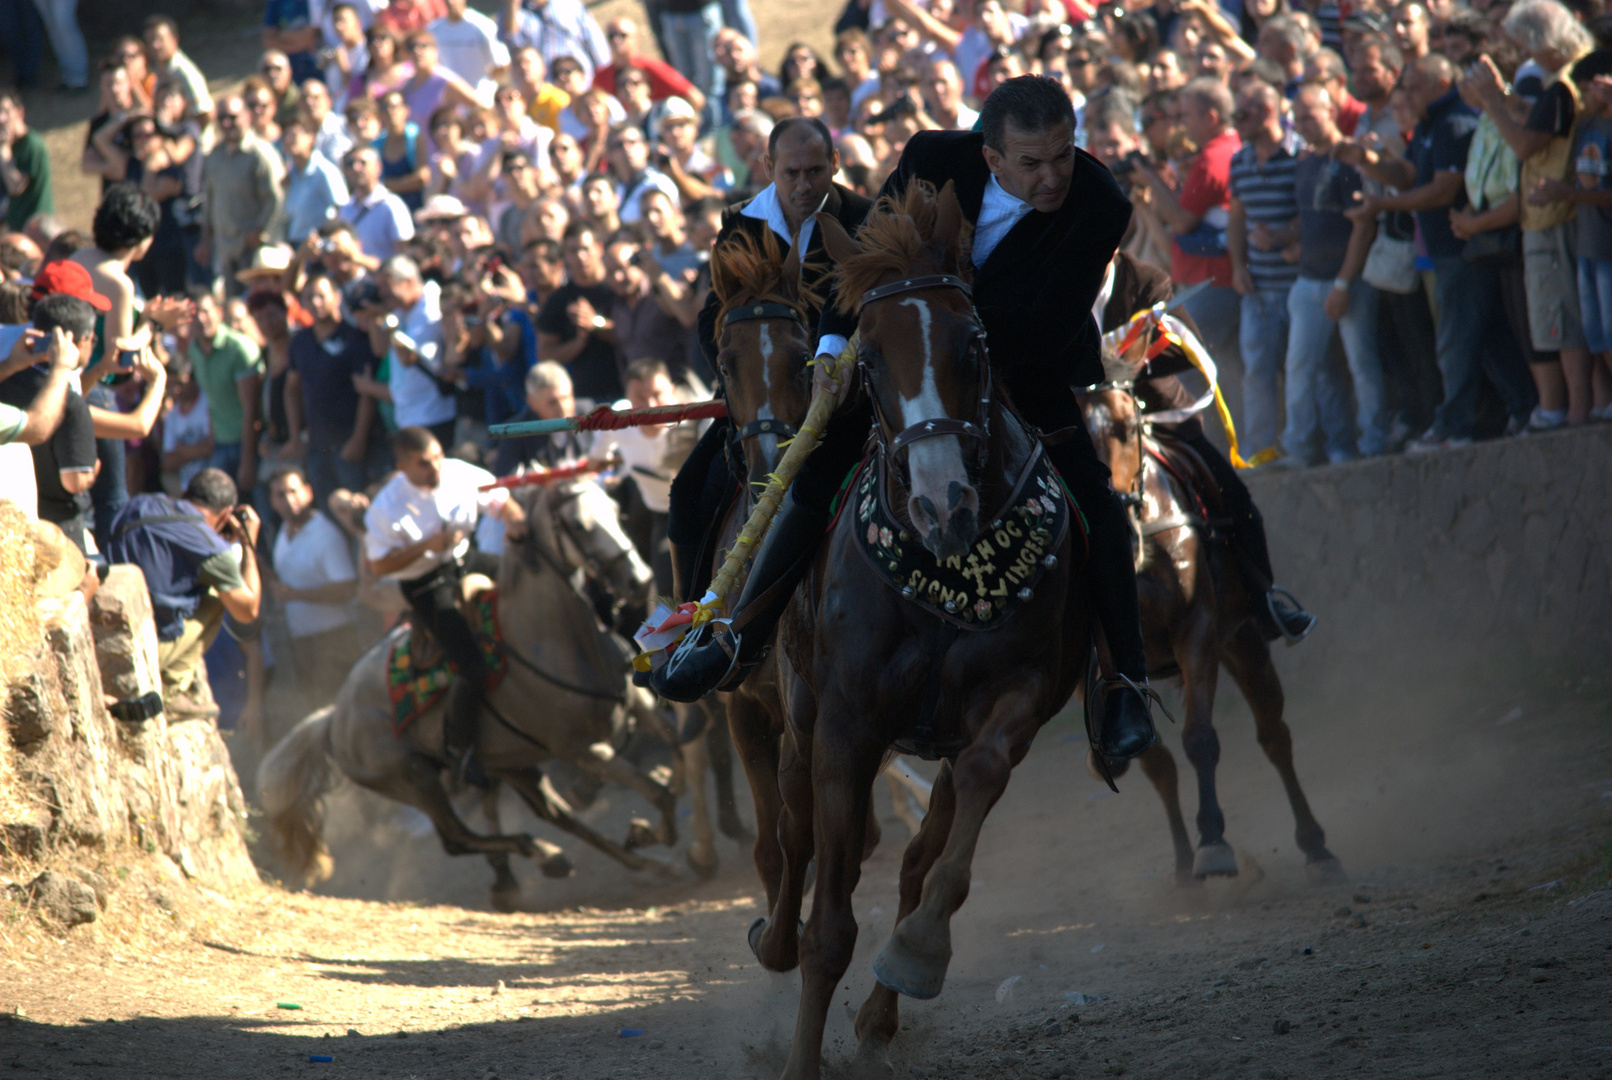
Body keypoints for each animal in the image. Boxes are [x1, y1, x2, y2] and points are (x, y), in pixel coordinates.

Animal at [741, 183, 1096, 1080]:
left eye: (974, 342)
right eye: (867, 361)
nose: (944, 504)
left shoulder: (1018, 699)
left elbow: (969, 798)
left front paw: (918, 953)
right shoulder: (845, 727)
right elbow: (830, 925)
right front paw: (803, 1053)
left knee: (913, 852)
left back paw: (880, 1010)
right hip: (796, 710)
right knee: (792, 832)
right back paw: (774, 940)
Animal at [1083, 346, 1347, 889]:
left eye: (1126, 426)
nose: (1115, 520)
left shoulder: (1199, 631)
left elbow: (1200, 739)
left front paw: (1213, 845)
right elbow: (1155, 758)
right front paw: (1192, 857)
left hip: (1243, 640)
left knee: (1274, 735)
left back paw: (1316, 847)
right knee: (1168, 764)